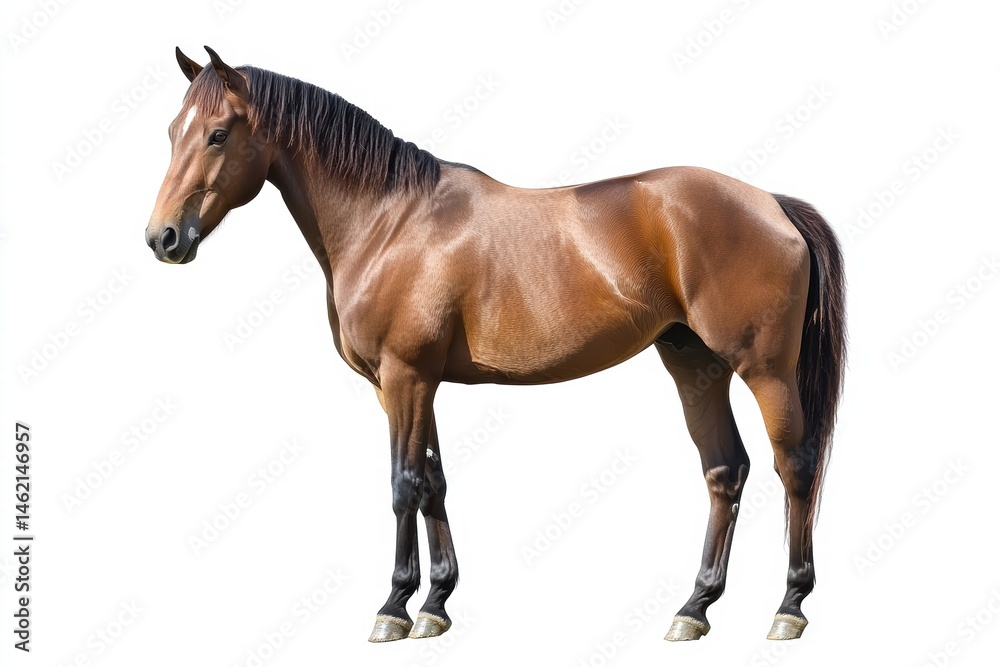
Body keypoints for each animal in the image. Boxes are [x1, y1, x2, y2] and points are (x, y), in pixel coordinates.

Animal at [146, 46, 846, 643]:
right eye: (173, 131)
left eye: (217, 134)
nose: (163, 238)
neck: (391, 221)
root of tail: (772, 203)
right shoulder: (408, 384)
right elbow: (433, 481)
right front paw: (435, 603)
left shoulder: (405, 376)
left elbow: (402, 483)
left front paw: (393, 607)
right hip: (693, 362)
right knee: (725, 471)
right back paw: (694, 608)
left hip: (765, 369)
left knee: (795, 466)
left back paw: (788, 607)